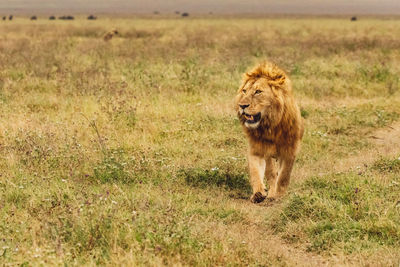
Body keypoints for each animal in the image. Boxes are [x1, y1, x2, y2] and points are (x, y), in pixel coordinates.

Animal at [234, 61, 304, 204]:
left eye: (258, 92)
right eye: (244, 91)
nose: (242, 106)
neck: (270, 126)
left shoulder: (290, 150)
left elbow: (283, 176)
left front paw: (278, 195)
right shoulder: (257, 149)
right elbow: (258, 172)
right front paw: (258, 194)